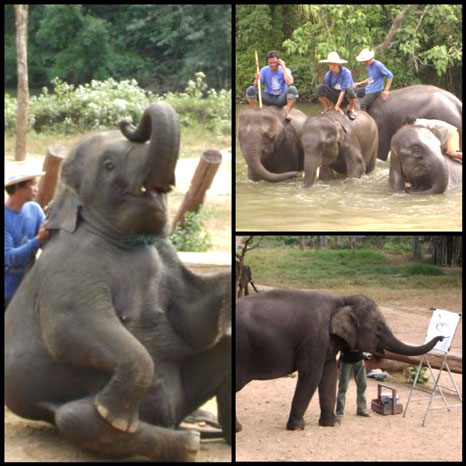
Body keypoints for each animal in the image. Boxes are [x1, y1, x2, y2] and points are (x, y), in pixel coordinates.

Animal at [5, 103, 231, 462]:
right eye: (109, 165)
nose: (128, 121)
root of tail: (171, 418)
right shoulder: (68, 270)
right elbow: (69, 329)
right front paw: (116, 415)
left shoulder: (169, 258)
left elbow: (194, 321)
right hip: (63, 411)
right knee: (77, 420)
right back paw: (186, 440)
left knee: (227, 347)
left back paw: (213, 431)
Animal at [237, 290, 444, 432]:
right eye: (379, 327)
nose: (442, 337)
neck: (341, 300)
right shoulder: (314, 337)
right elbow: (312, 374)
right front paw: (297, 428)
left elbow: (328, 374)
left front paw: (333, 423)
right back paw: (237, 430)